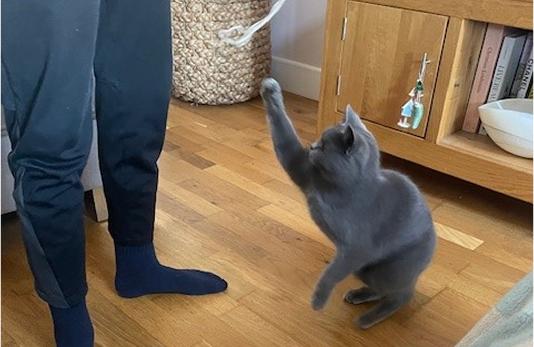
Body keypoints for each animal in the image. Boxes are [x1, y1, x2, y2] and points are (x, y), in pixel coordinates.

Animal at [262, 78, 438, 328]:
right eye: (318, 142)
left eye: (323, 146)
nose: (312, 146)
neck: (339, 188)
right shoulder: (303, 169)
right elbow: (285, 138)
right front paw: (270, 89)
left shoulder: (357, 249)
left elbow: (332, 272)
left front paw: (318, 300)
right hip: (365, 270)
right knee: (385, 290)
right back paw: (359, 295)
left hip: (388, 269)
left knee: (402, 295)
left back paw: (368, 318)